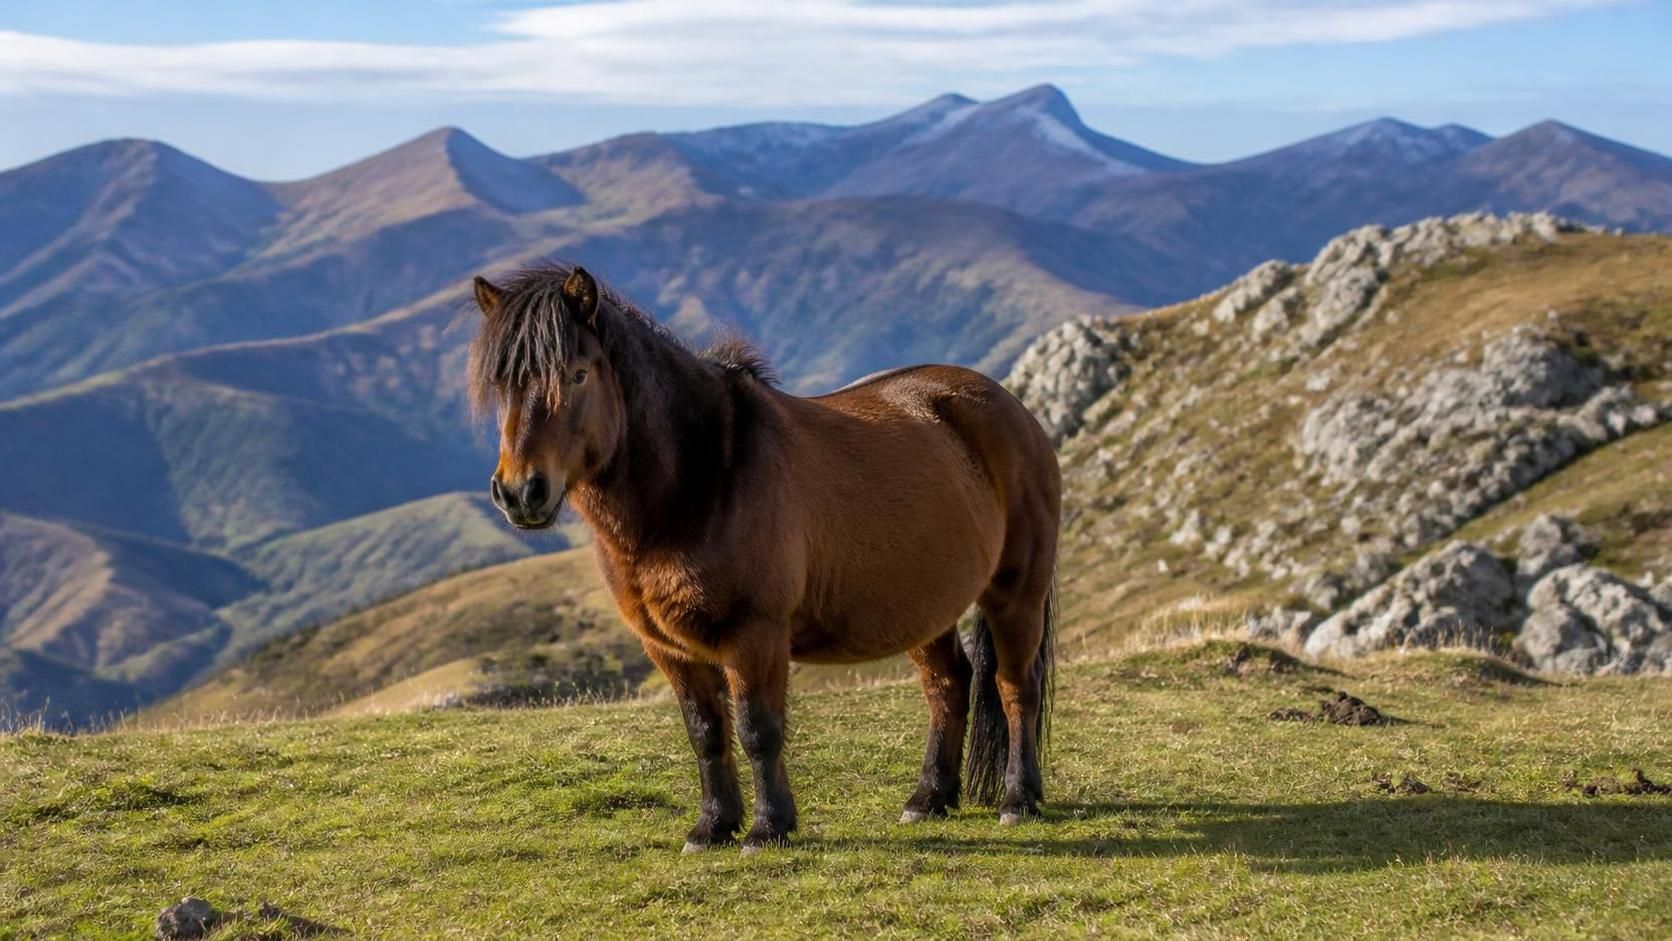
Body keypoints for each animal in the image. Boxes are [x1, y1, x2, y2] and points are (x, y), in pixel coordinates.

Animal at [467, 263, 1060, 852]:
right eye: (502, 384)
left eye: (577, 374)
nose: (520, 493)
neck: (705, 474)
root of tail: (1011, 408)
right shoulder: (668, 647)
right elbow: (706, 734)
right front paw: (712, 826)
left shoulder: (755, 634)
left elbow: (758, 729)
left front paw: (767, 827)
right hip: (924, 607)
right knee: (948, 685)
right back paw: (929, 799)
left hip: (1015, 592)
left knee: (1015, 685)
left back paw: (1018, 799)